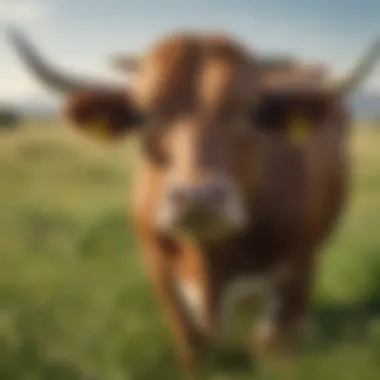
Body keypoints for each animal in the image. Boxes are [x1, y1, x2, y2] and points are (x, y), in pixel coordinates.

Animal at [8, 28, 380, 376]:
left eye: (251, 111)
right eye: (142, 114)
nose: (198, 199)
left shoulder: (299, 269)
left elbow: (274, 344)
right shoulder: (160, 271)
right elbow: (192, 344)